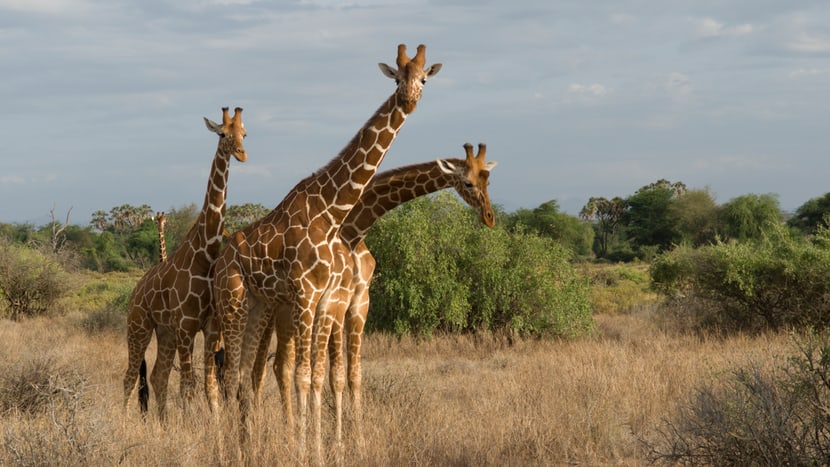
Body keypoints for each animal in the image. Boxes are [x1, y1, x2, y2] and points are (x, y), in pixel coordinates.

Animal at [123, 108, 247, 418]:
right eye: (222, 134)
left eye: (244, 133)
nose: (242, 154)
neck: (206, 255)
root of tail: (135, 290)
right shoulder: (186, 326)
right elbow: (188, 386)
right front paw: (191, 423)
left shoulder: (209, 327)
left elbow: (209, 386)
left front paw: (214, 423)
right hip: (139, 325)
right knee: (130, 377)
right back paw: (123, 421)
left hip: (165, 333)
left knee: (158, 376)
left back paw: (163, 422)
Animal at [211, 43, 442, 460]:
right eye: (397, 78)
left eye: (424, 78)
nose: (409, 99)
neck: (331, 210)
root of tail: (220, 259)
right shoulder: (306, 294)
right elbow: (303, 375)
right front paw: (305, 452)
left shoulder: (324, 299)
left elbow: (318, 375)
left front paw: (321, 449)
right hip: (232, 299)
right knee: (234, 372)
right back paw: (235, 451)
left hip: (257, 305)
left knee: (244, 375)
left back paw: (249, 447)